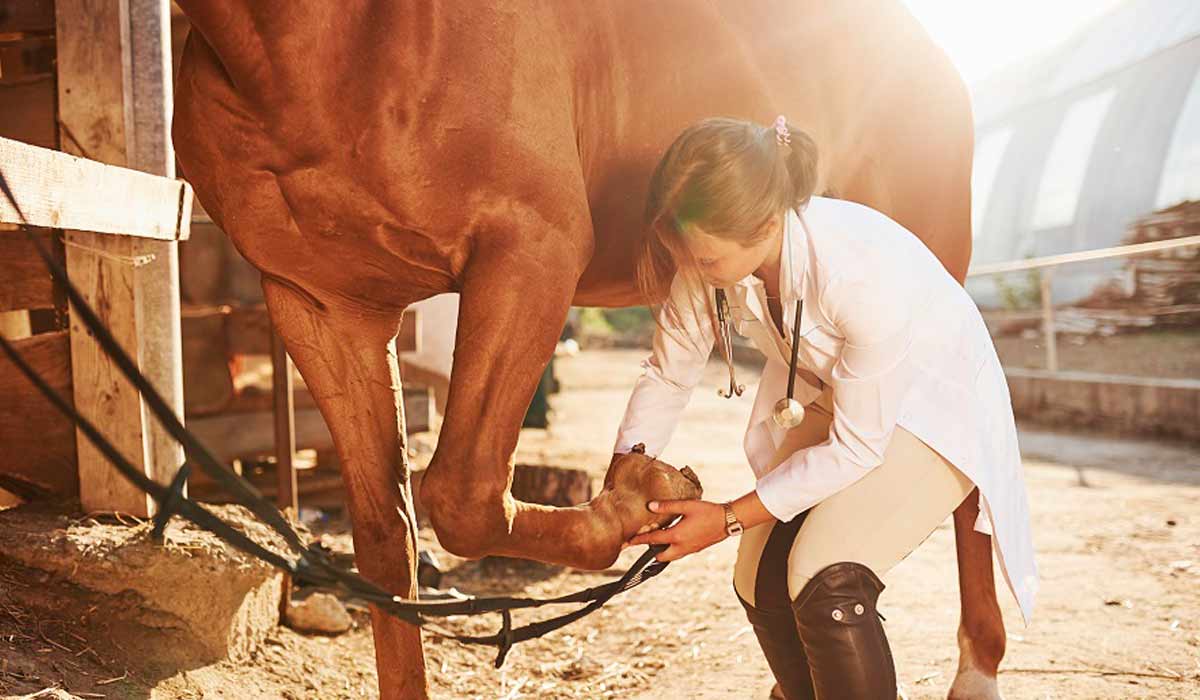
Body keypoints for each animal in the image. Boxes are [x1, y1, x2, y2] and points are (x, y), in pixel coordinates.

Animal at [171, 2, 1003, 696]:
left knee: (966, 469)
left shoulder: (530, 250)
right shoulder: (321, 306)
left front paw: (638, 496)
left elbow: (464, 494)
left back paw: (979, 667)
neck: (326, 40)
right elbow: (387, 540)